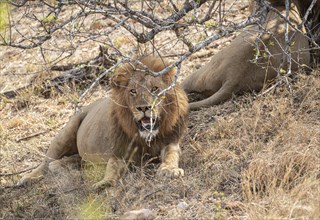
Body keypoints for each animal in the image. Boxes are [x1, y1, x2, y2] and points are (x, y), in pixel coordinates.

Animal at [18, 56, 189, 189]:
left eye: (155, 88)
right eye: (133, 91)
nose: (144, 107)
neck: (146, 137)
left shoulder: (171, 141)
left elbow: (171, 154)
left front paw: (169, 170)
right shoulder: (119, 150)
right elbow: (112, 165)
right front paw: (105, 182)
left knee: (68, 162)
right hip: (65, 134)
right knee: (46, 162)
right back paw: (27, 178)